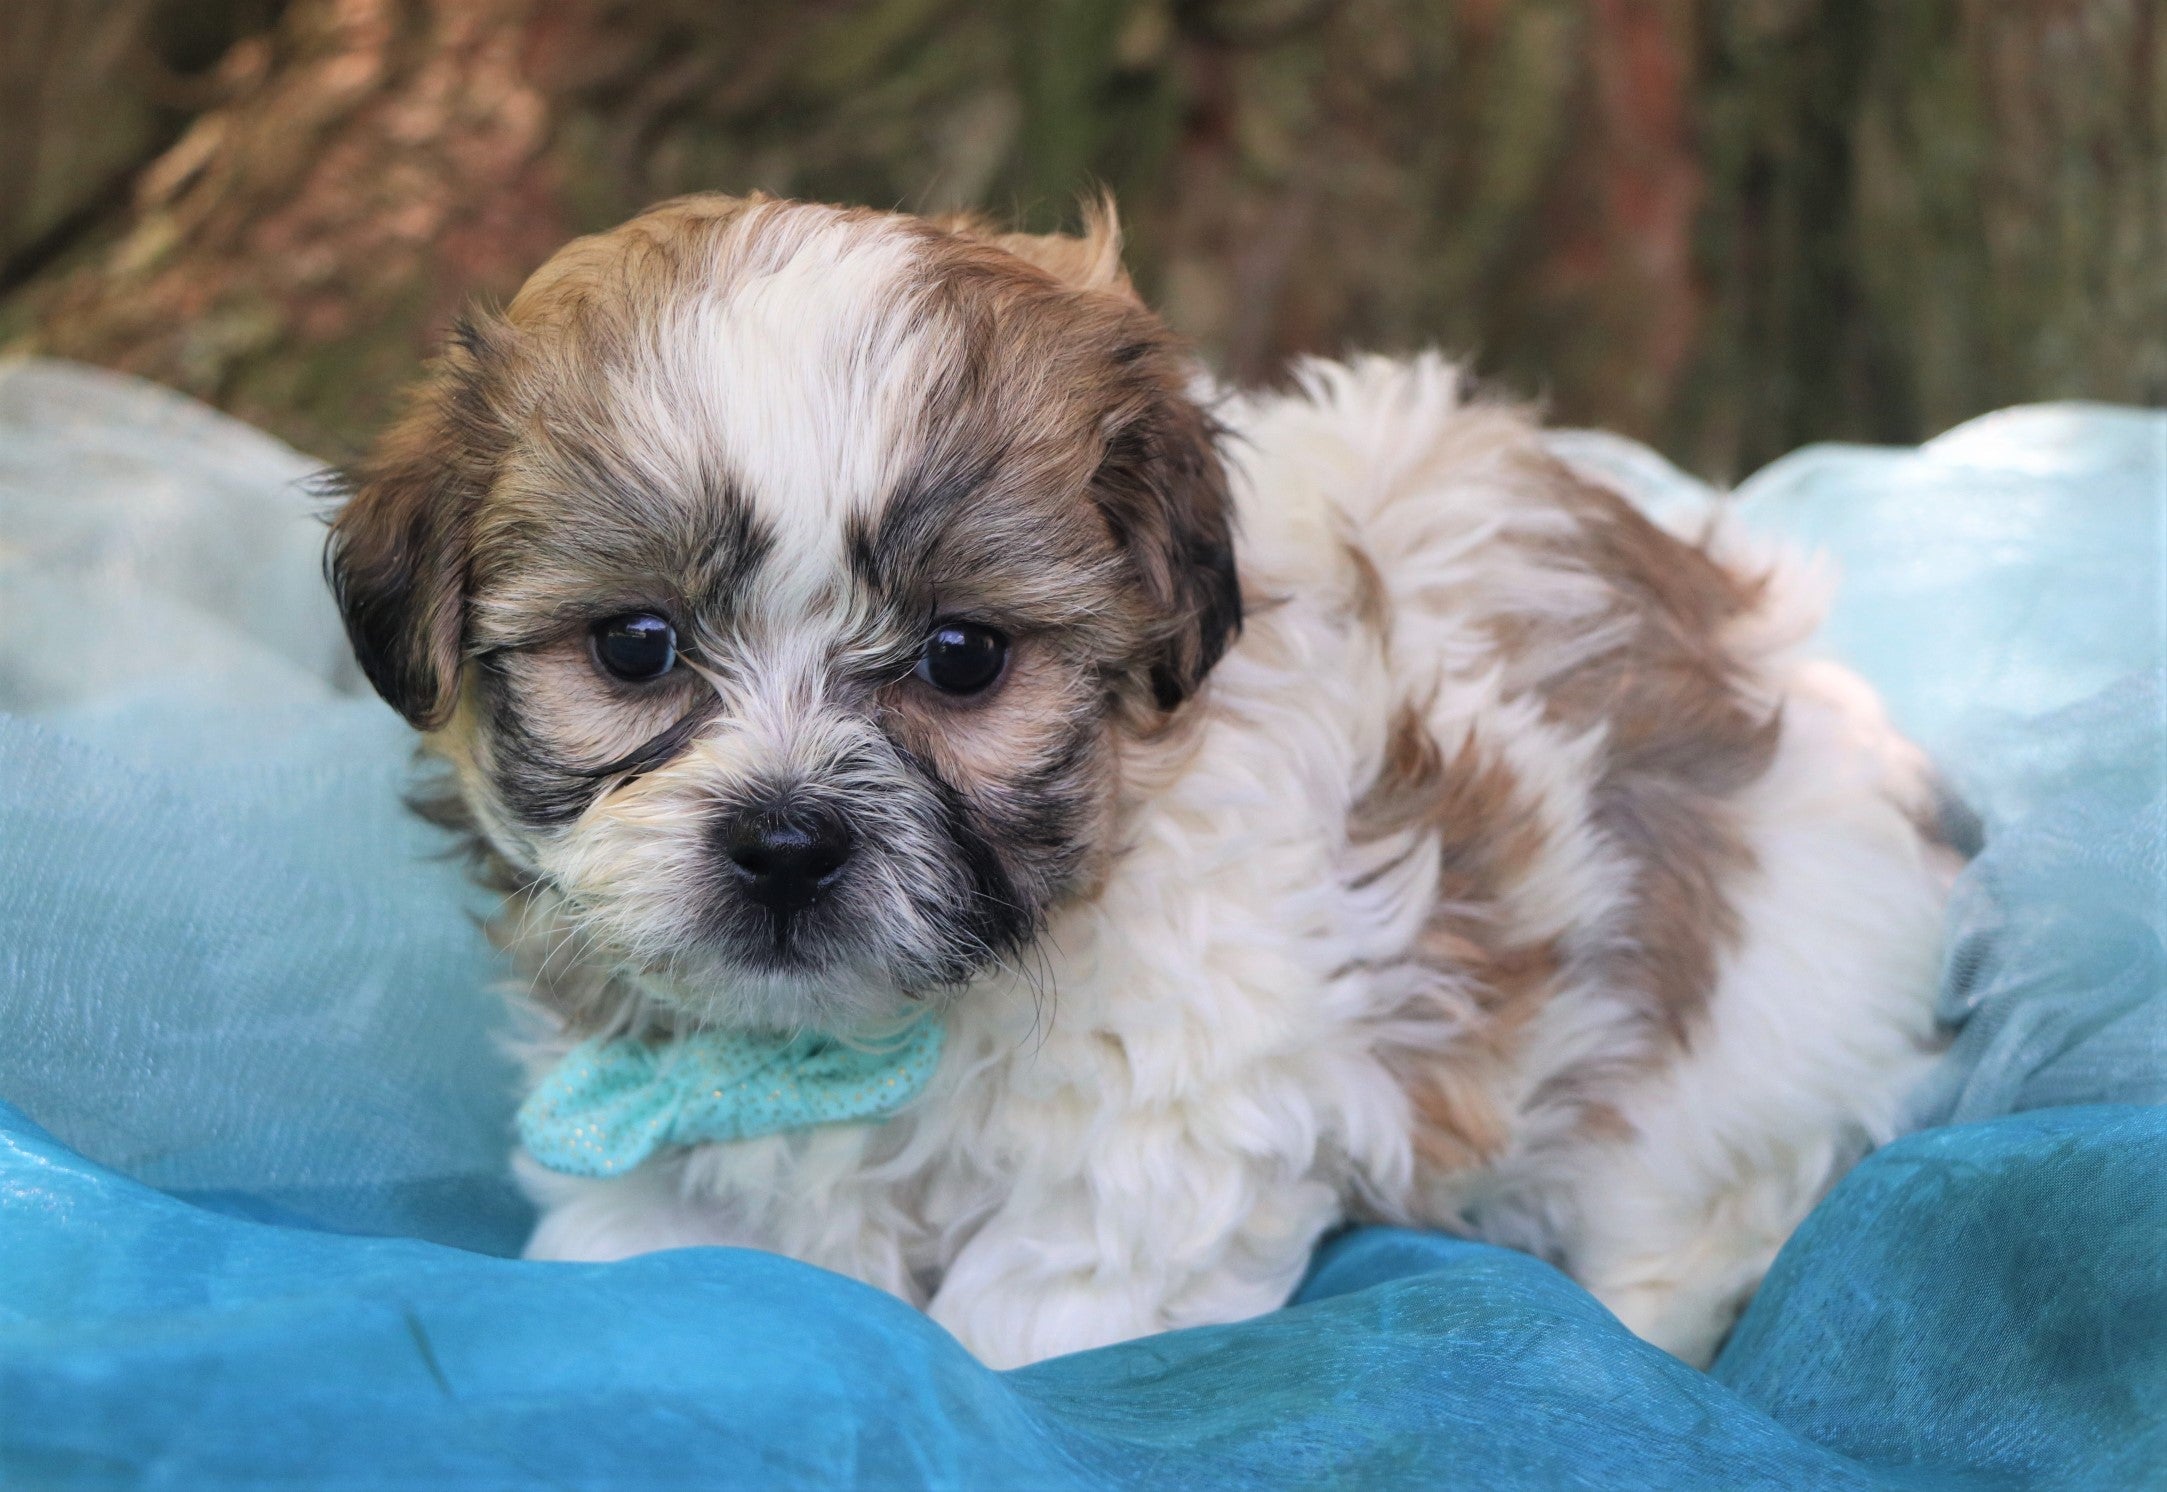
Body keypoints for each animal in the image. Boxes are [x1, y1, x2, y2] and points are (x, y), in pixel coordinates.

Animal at [329, 191, 1958, 1368]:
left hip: (1733, 1034)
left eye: (964, 657)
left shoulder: (1177, 1110)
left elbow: (1052, 1296)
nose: (786, 840)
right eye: (636, 645)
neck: (859, 1038)